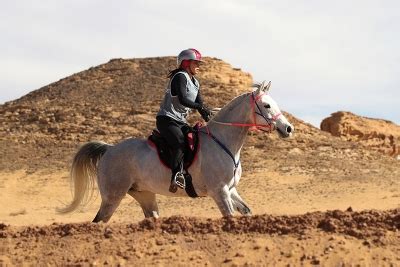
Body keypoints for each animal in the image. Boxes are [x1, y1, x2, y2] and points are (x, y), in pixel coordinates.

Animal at [59, 80, 296, 223]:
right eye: (266, 106)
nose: (288, 128)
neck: (224, 142)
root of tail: (108, 150)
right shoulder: (219, 192)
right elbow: (230, 217)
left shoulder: (231, 190)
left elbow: (246, 211)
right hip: (112, 196)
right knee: (98, 222)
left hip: (144, 195)